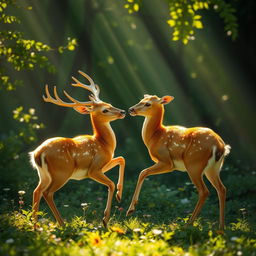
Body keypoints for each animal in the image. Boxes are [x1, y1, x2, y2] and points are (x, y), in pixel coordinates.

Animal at [29, 71, 125, 227]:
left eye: (110, 104)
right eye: (105, 110)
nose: (122, 111)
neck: (104, 144)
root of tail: (37, 154)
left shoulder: (104, 164)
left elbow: (121, 159)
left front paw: (119, 195)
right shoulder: (94, 168)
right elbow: (110, 184)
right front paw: (105, 219)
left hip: (43, 174)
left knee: (36, 191)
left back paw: (35, 225)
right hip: (62, 171)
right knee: (48, 193)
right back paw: (62, 224)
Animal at [126, 94, 230, 230]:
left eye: (147, 104)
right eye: (141, 100)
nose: (131, 109)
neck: (155, 136)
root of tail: (221, 147)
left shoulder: (167, 161)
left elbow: (143, 172)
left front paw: (130, 210)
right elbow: (143, 172)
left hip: (194, 163)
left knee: (204, 191)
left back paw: (188, 224)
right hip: (213, 168)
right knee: (221, 189)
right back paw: (221, 228)